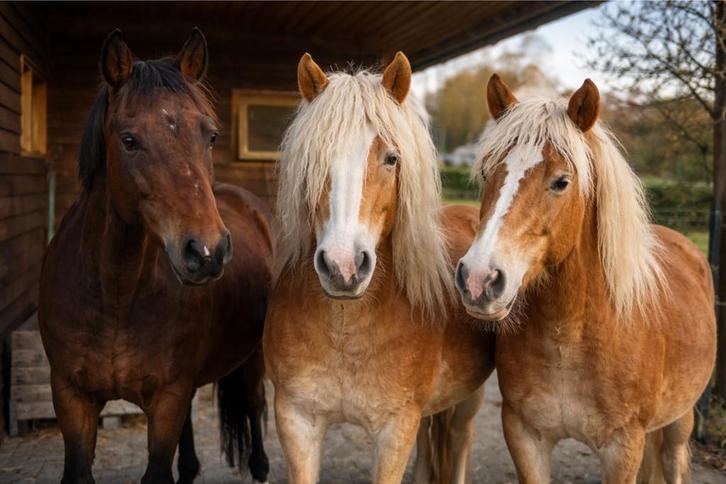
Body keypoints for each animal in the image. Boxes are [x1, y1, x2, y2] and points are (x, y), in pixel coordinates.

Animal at [39, 29, 273, 484]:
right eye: (129, 140)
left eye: (210, 136)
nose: (207, 251)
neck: (115, 292)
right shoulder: (70, 398)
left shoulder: (167, 398)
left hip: (253, 357)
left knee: (255, 405)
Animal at [263, 52, 495, 484]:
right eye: (313, 159)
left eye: (391, 158)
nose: (343, 266)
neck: (346, 326)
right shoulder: (296, 420)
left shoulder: (395, 429)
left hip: (468, 401)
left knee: (459, 443)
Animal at [455, 74, 716, 483]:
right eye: (486, 173)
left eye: (561, 181)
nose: (479, 279)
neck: (572, 339)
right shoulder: (525, 436)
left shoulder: (623, 450)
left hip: (680, 422)